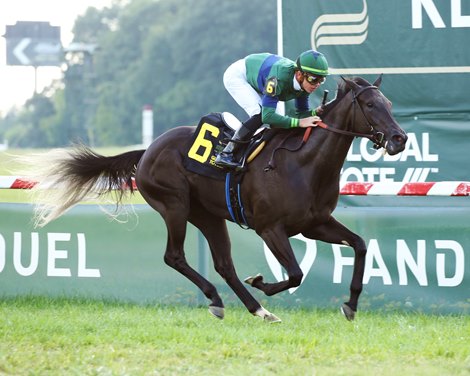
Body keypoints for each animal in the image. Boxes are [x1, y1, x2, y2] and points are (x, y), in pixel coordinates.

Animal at [26, 76, 408, 324]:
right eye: (370, 104)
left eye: (390, 104)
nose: (399, 139)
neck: (304, 163)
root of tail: (147, 150)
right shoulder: (270, 228)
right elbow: (296, 274)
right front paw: (263, 282)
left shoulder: (314, 224)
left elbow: (360, 245)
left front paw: (351, 304)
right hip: (175, 206)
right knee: (175, 256)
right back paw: (223, 300)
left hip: (208, 216)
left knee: (224, 264)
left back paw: (256, 309)